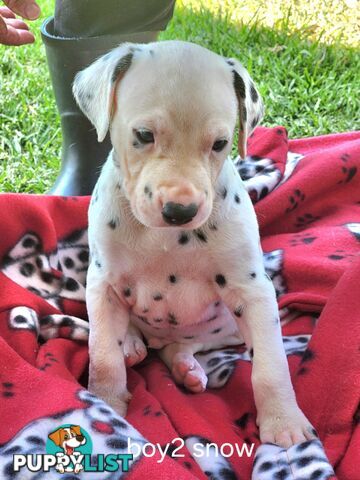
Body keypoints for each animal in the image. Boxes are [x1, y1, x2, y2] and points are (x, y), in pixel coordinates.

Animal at [73, 39, 316, 448]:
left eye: (220, 143)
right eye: (143, 135)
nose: (180, 210)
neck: (166, 238)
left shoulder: (253, 292)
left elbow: (270, 364)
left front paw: (284, 421)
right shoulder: (103, 285)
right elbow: (103, 351)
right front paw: (105, 403)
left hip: (228, 325)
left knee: (187, 344)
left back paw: (186, 366)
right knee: (130, 335)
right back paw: (135, 345)